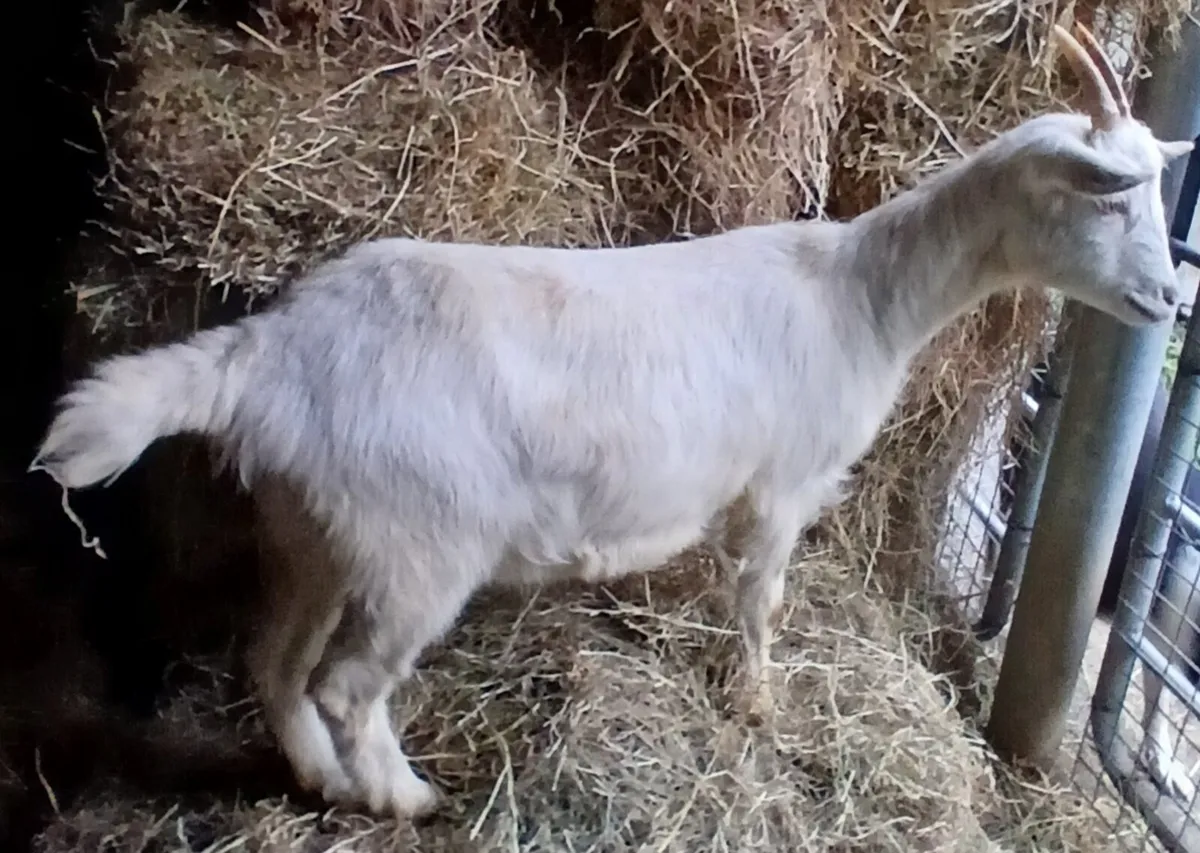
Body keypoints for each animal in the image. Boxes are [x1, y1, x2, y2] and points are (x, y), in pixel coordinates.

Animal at [29, 24, 1196, 819]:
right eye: (1108, 197)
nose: (1167, 301)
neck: (864, 295)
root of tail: (264, 355)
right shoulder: (782, 484)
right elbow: (762, 603)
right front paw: (758, 705)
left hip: (315, 532)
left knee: (275, 663)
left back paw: (323, 782)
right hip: (417, 545)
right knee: (348, 685)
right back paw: (404, 796)